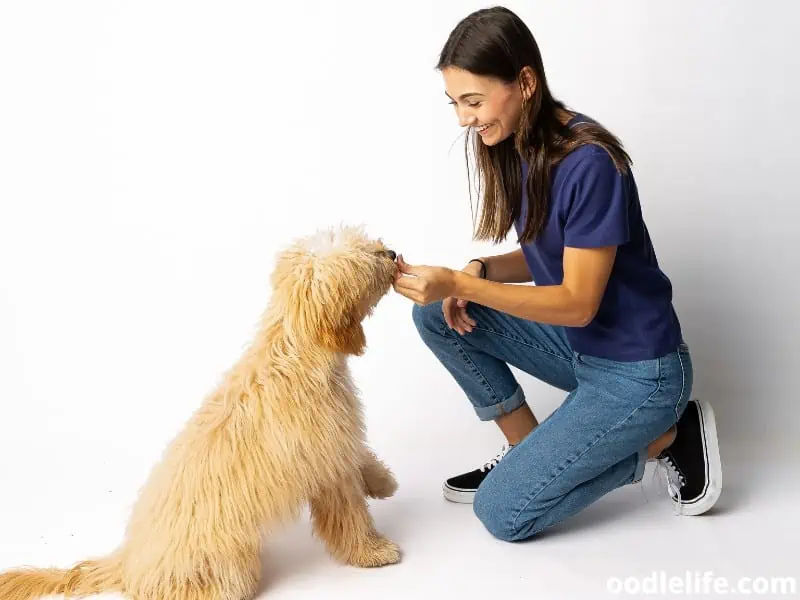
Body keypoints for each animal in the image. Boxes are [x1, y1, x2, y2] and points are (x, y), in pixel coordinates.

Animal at [0, 226, 400, 600]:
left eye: (367, 243)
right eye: (367, 261)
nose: (392, 253)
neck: (294, 352)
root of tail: (127, 560)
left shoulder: (337, 441)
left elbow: (361, 457)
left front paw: (383, 482)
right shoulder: (327, 465)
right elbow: (350, 516)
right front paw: (374, 552)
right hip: (225, 568)